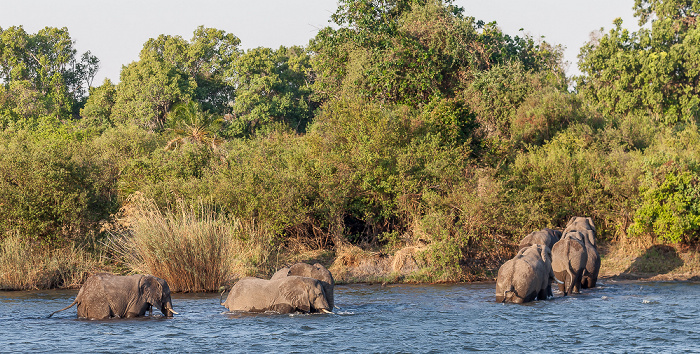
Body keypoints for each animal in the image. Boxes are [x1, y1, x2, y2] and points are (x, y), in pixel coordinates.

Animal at [47, 272, 176, 320]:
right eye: (167, 294)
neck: (150, 277)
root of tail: (80, 294)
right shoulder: (138, 298)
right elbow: (132, 314)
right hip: (97, 302)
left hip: (83, 305)